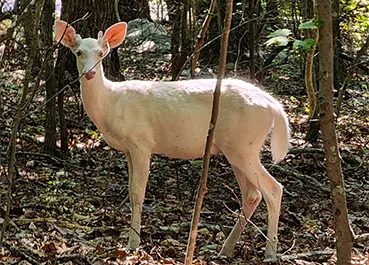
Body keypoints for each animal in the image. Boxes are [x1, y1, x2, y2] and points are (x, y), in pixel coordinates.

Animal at [55, 20, 290, 258]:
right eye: (78, 52)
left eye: (101, 53)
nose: (90, 73)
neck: (111, 104)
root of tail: (272, 104)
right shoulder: (128, 149)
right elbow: (130, 190)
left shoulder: (141, 142)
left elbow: (138, 193)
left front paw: (133, 243)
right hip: (236, 148)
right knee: (252, 194)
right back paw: (226, 249)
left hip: (244, 145)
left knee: (273, 189)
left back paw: (270, 253)